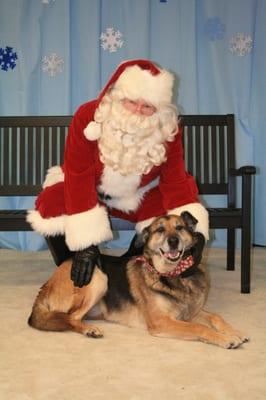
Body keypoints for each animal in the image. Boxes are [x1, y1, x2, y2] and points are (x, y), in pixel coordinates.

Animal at [28, 212, 248, 346]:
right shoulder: (162, 322)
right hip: (99, 277)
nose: (173, 241)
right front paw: (225, 338)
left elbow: (215, 317)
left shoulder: (190, 313)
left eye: (180, 228)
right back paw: (89, 330)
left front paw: (234, 332)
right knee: (70, 317)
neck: (174, 275)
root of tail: (46, 285)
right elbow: (199, 327)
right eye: (160, 230)